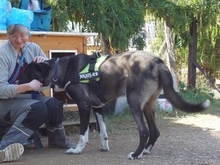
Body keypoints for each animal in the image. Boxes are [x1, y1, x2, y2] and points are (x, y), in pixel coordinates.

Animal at [18, 51, 210, 159]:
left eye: (26, 73)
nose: (17, 83)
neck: (61, 70)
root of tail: (158, 61)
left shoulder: (84, 105)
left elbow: (83, 133)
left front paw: (77, 150)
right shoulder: (98, 107)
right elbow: (103, 131)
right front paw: (104, 147)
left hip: (134, 103)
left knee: (144, 131)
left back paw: (136, 154)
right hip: (148, 105)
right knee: (155, 131)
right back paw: (145, 151)